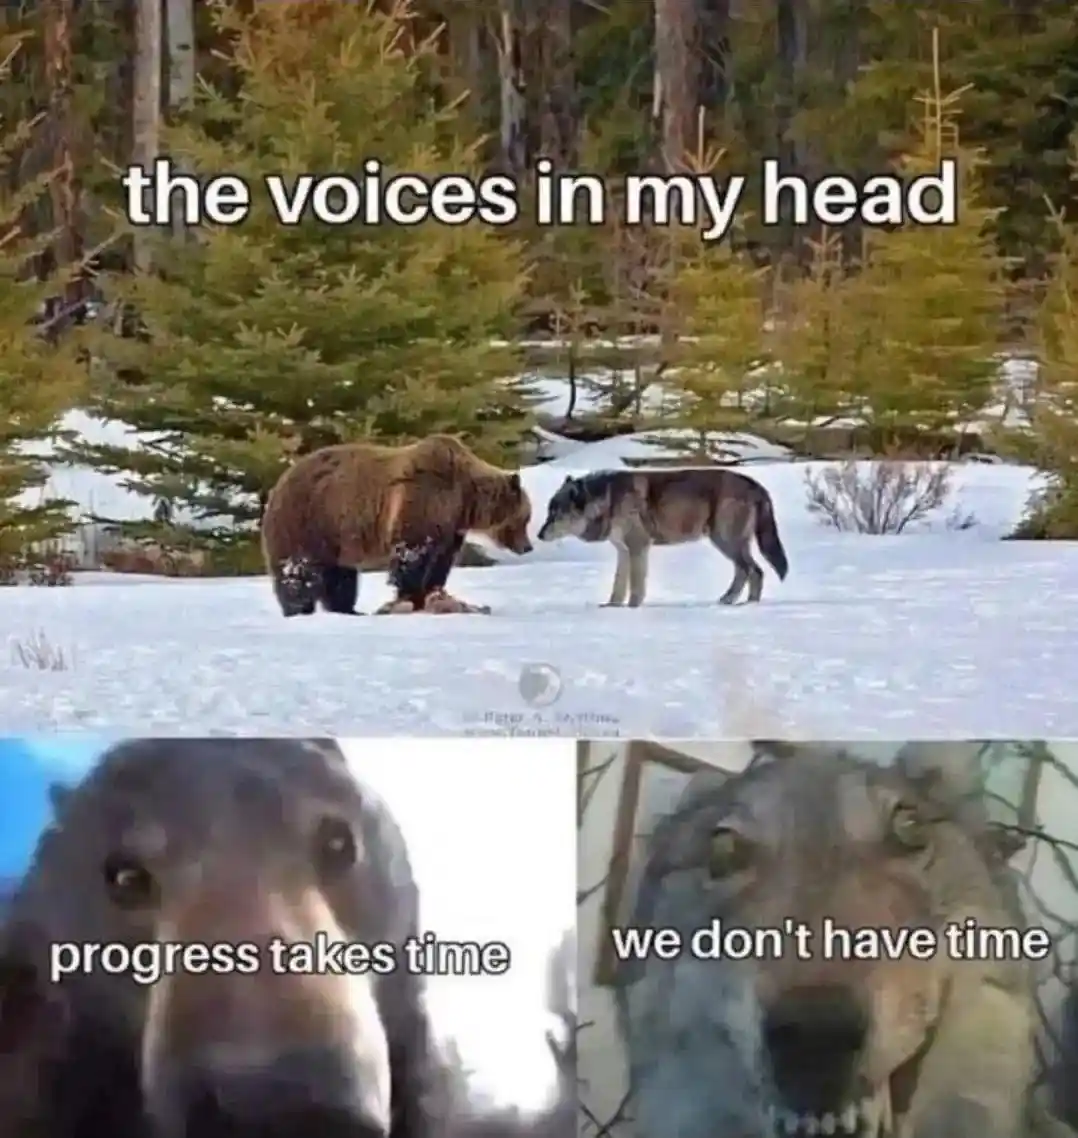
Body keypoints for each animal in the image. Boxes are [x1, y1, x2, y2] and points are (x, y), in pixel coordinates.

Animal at [260, 434, 533, 617]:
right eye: (526, 518)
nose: (528, 547)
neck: (465, 499)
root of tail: (279, 481)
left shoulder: (450, 526)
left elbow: (441, 561)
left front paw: (432, 594)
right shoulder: (424, 500)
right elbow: (412, 553)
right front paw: (409, 597)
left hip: (335, 538)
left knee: (340, 577)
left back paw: (347, 610)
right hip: (308, 520)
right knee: (298, 571)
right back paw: (299, 609)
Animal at [536, 468, 788, 607]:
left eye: (555, 514)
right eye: (549, 512)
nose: (538, 535)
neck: (608, 502)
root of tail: (757, 486)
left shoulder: (638, 547)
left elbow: (636, 585)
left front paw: (632, 608)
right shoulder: (624, 550)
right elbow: (618, 585)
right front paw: (612, 606)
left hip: (725, 541)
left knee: (754, 570)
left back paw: (743, 604)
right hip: (729, 543)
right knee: (748, 571)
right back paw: (734, 601)